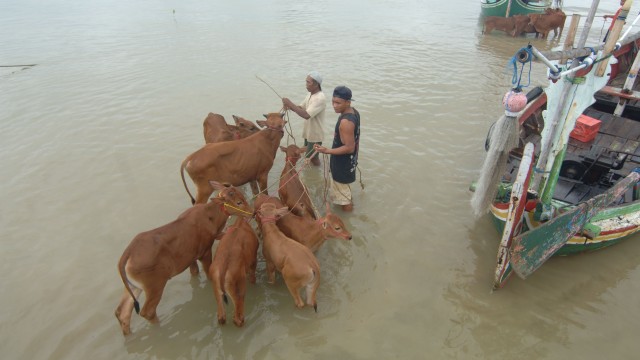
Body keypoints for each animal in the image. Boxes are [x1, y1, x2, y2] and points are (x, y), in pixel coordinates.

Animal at [115, 181, 252, 336]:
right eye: (239, 201)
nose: (252, 211)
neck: (211, 216)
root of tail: (128, 253)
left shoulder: (190, 257)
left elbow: (194, 272)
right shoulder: (204, 252)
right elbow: (209, 275)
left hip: (134, 287)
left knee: (122, 312)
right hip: (155, 285)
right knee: (147, 312)